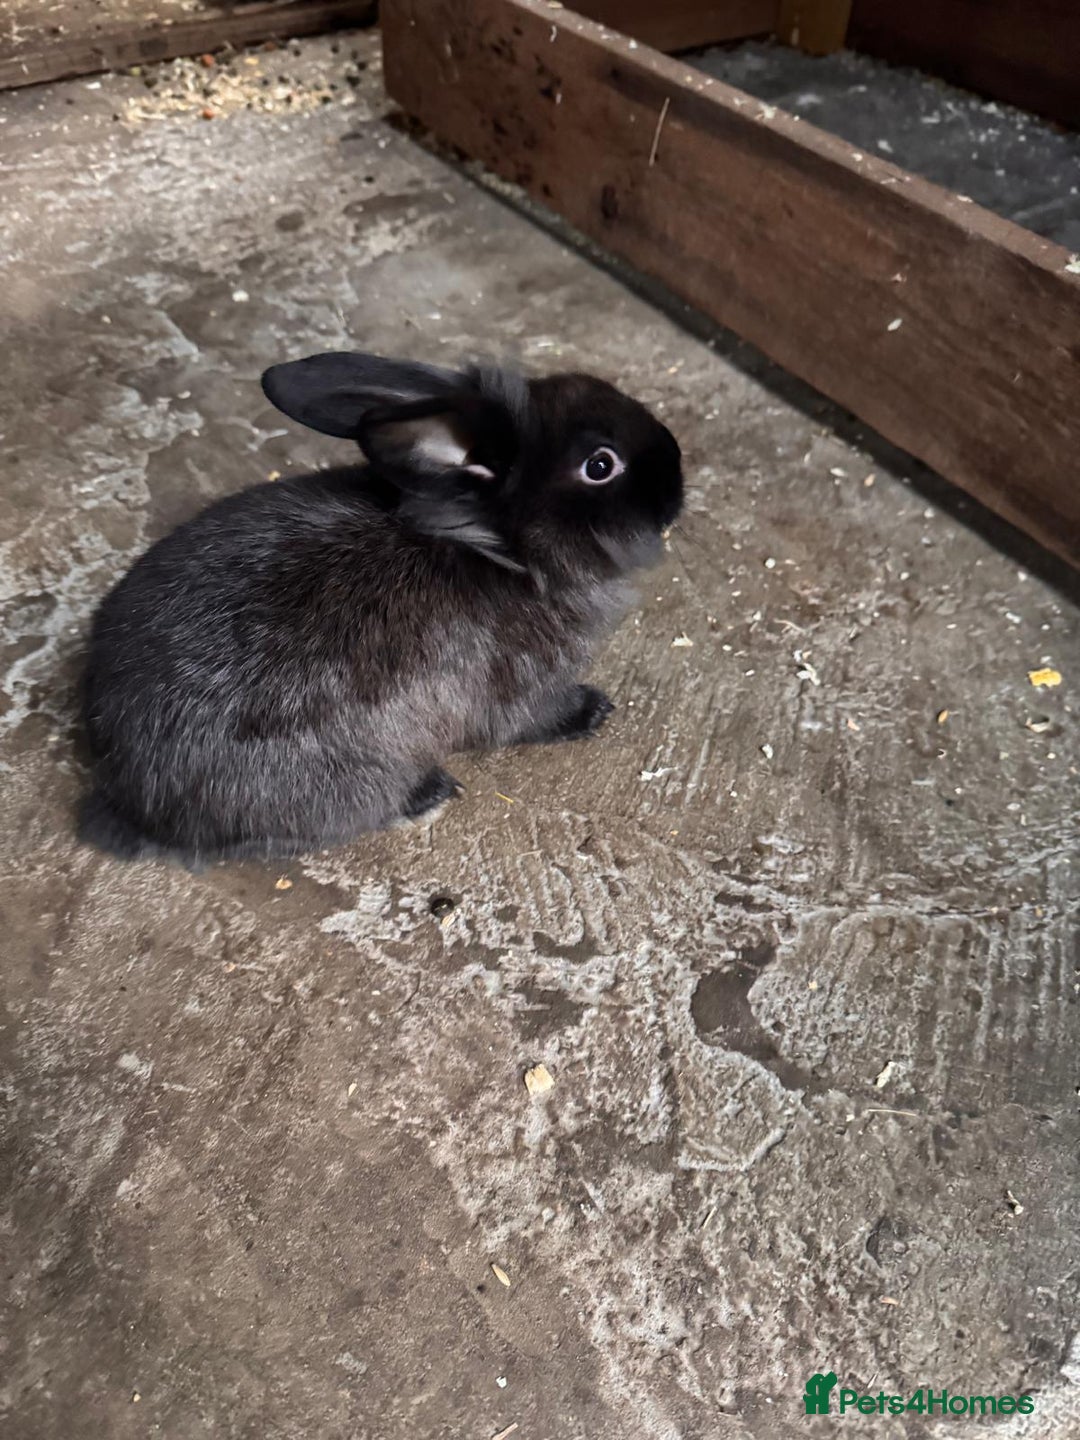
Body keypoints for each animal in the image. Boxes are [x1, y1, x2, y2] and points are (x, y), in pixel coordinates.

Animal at [79, 350, 683, 864]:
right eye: (600, 465)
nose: (676, 484)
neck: (505, 551)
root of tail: (136, 804)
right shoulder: (525, 687)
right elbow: (534, 716)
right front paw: (592, 710)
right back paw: (430, 791)